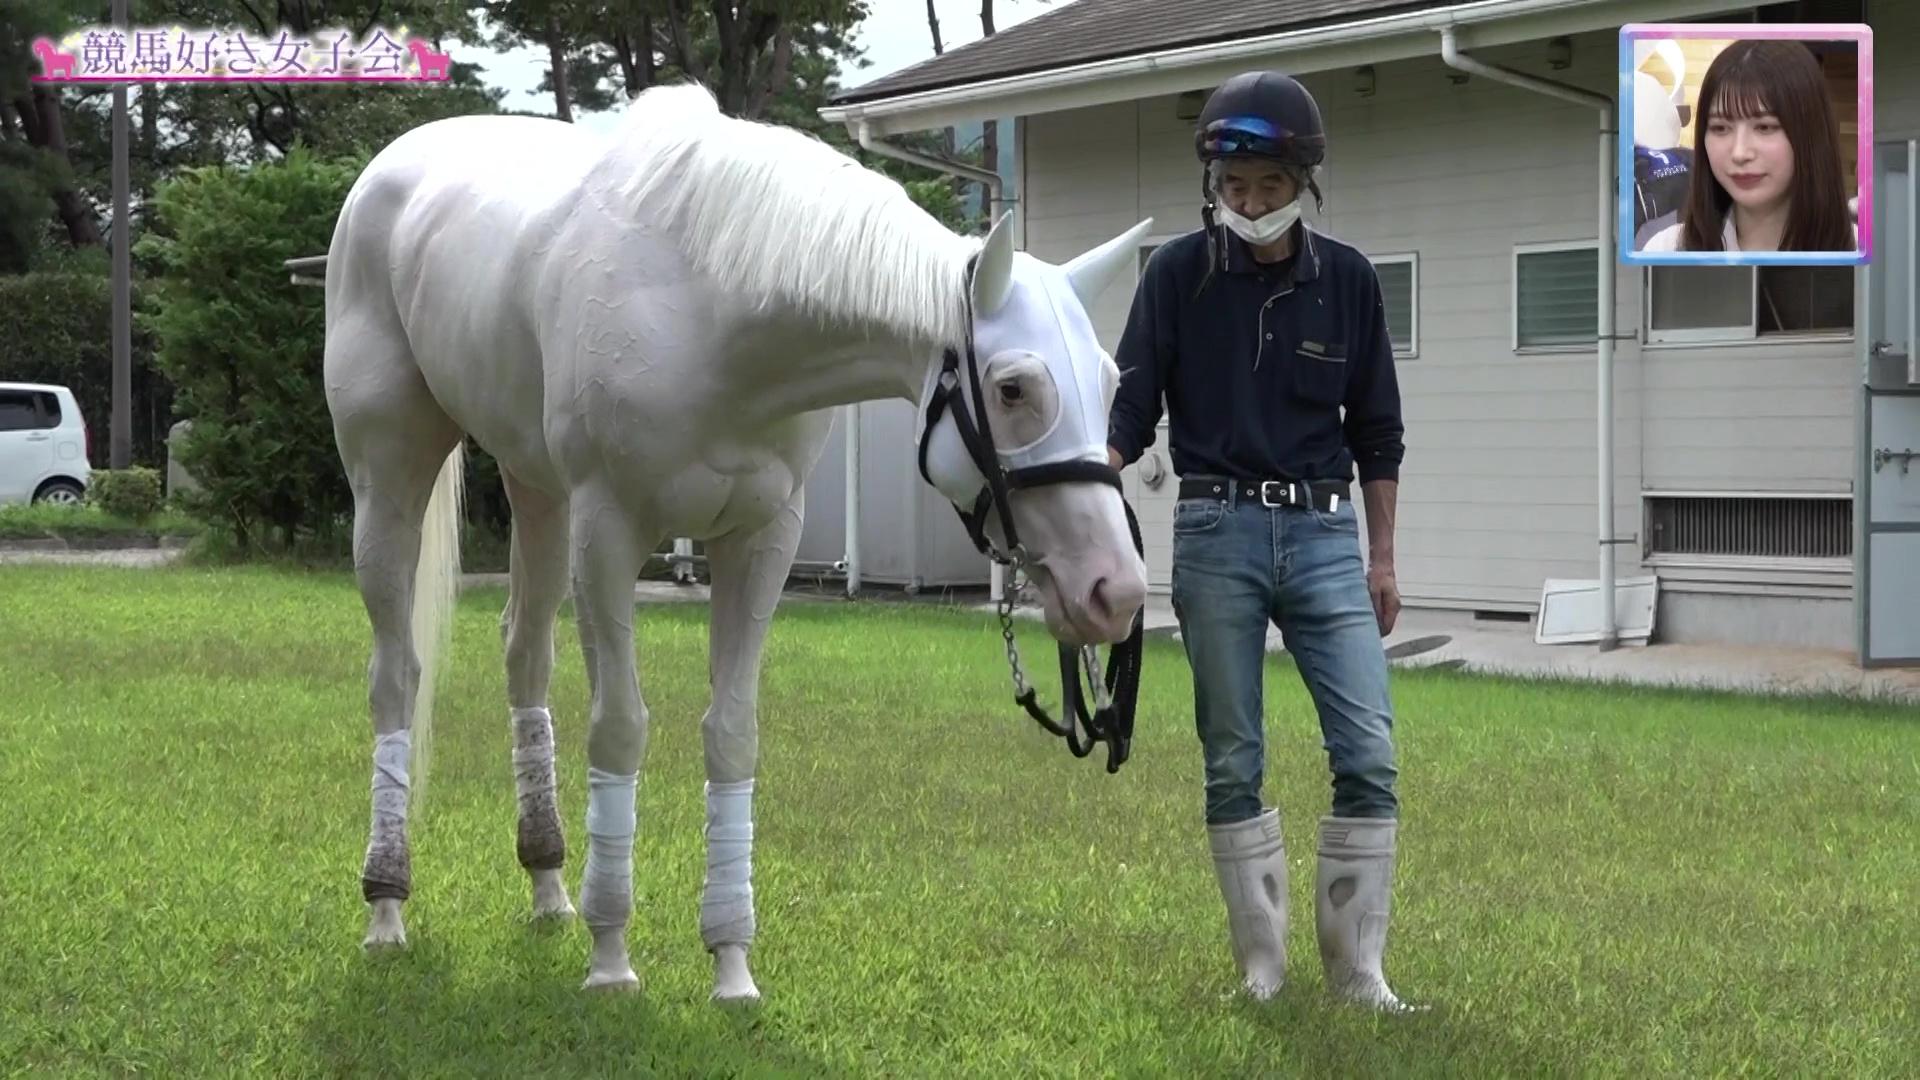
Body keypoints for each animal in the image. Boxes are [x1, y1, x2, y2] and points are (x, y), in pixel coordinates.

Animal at [319, 79, 1153, 1001]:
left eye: (1111, 379)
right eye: (1012, 389)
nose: (1115, 591)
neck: (712, 312)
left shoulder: (762, 540)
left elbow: (731, 733)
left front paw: (730, 963)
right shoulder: (609, 532)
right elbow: (620, 727)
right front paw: (612, 959)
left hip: (537, 489)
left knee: (523, 656)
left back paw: (549, 886)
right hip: (391, 473)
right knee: (396, 674)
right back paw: (387, 905)